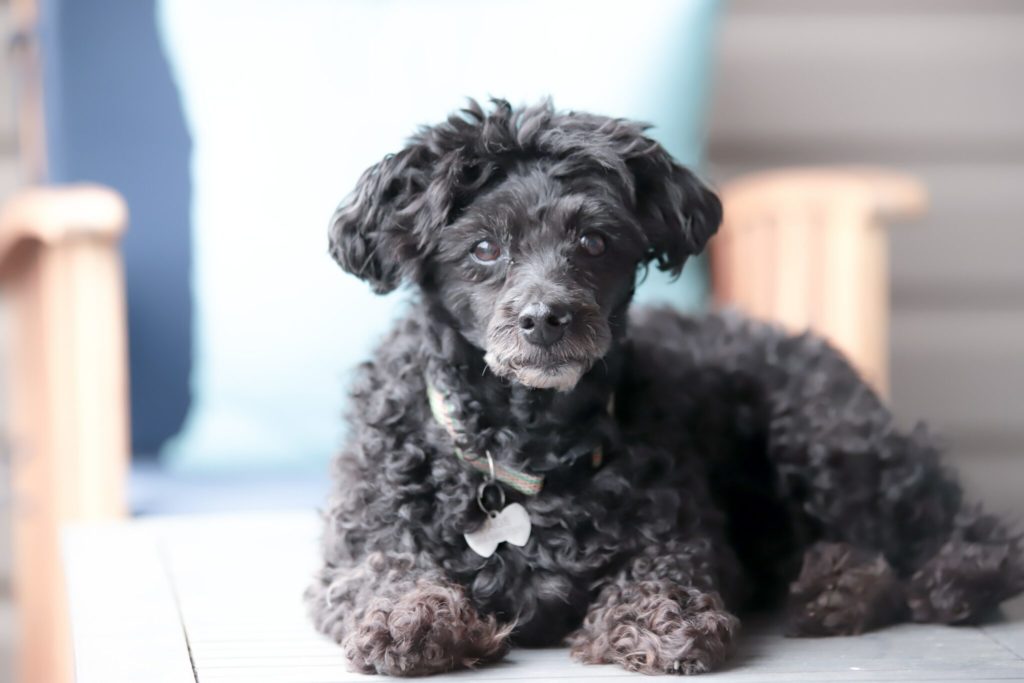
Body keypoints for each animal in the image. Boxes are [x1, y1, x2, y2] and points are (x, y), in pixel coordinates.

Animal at [305, 98, 1024, 675]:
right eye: (484, 248)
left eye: (594, 242)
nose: (545, 318)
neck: (523, 443)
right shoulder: (352, 551)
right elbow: (383, 570)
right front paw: (413, 617)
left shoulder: (685, 538)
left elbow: (665, 575)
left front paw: (656, 620)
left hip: (820, 439)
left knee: (963, 537)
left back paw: (883, 585)